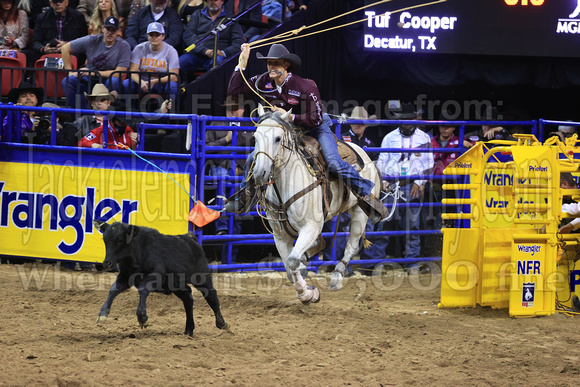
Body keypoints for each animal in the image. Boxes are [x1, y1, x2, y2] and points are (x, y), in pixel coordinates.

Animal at [94, 221, 228, 336]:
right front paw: (102, 314)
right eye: (105, 240)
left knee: (211, 295)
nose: (107, 263)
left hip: (201, 277)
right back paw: (189, 329)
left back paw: (221, 323)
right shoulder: (125, 276)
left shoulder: (155, 276)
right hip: (177, 285)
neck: (139, 252)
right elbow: (113, 289)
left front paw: (143, 318)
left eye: (120, 240)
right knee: (188, 298)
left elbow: (143, 289)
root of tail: (190, 238)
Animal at [251, 106, 382, 304]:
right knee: (320, 244)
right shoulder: (280, 234)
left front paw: (308, 294)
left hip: (359, 211)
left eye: (278, 138)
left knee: (351, 245)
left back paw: (336, 277)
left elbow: (292, 261)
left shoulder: (311, 226)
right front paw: (305, 289)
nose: (260, 173)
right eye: (255, 137)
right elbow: (289, 268)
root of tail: (365, 154)